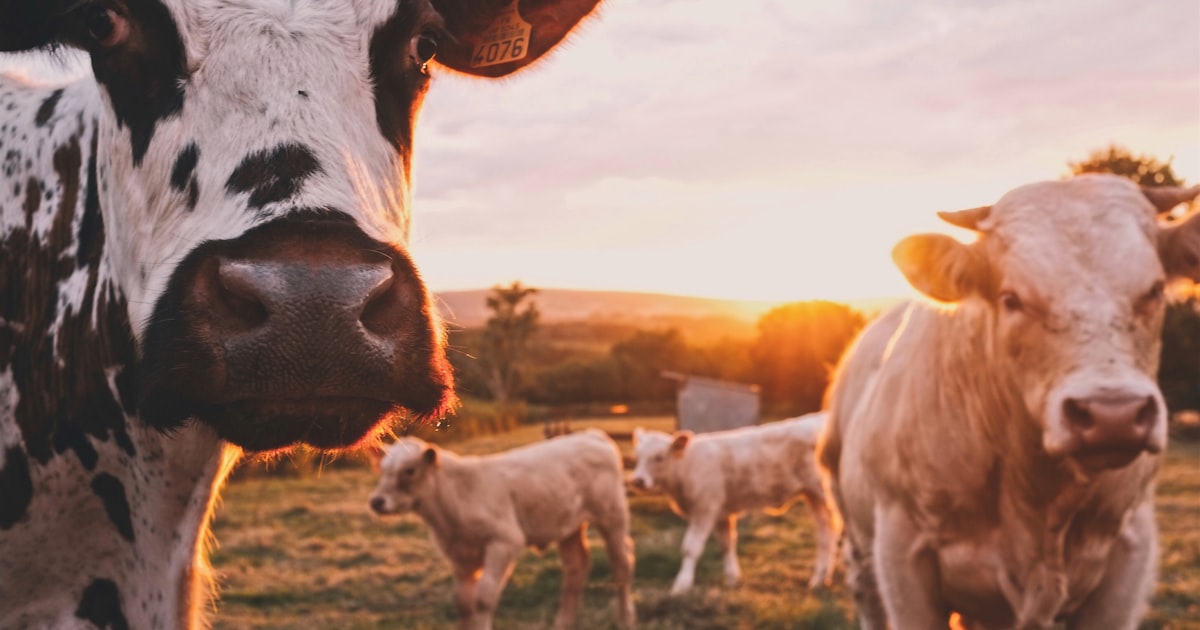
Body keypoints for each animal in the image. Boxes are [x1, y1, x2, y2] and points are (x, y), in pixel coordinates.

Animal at [368, 430, 636, 630]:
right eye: (382, 469)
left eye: (410, 470)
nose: (377, 501)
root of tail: (591, 435)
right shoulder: (459, 554)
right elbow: (463, 603)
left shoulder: (505, 541)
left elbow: (483, 599)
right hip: (568, 525)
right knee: (576, 568)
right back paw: (563, 623)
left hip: (613, 516)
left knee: (621, 564)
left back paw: (626, 619)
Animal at [630, 413, 840, 595]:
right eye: (637, 457)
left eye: (659, 457)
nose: (638, 481)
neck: (686, 467)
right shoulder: (722, 513)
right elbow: (727, 544)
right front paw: (732, 579)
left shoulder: (704, 509)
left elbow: (690, 548)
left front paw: (681, 585)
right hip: (813, 496)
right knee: (826, 533)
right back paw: (820, 579)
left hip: (825, 493)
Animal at [818, 175, 1200, 629]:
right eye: (1011, 298)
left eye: (1155, 289)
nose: (1114, 415)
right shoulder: (902, 554)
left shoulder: (1129, 553)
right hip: (858, 540)